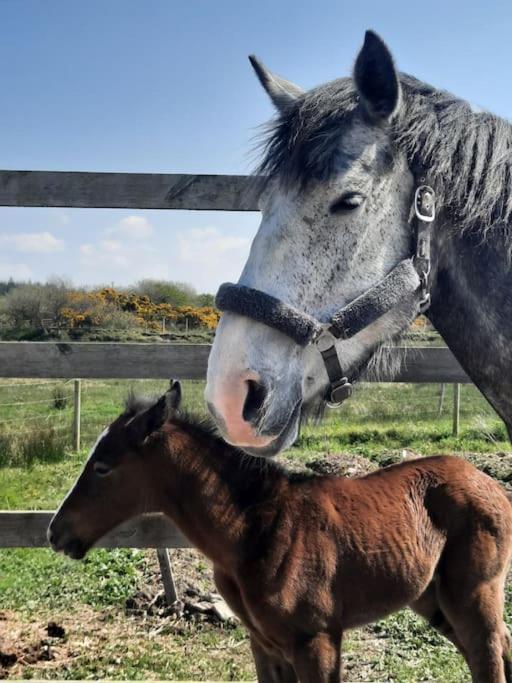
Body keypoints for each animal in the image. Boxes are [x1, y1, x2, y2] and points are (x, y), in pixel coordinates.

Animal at [50, 382, 512, 680]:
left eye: (103, 467)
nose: (56, 532)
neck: (254, 532)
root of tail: (490, 482)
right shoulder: (265, 645)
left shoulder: (317, 642)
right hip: (432, 599)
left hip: (473, 594)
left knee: (488, 655)